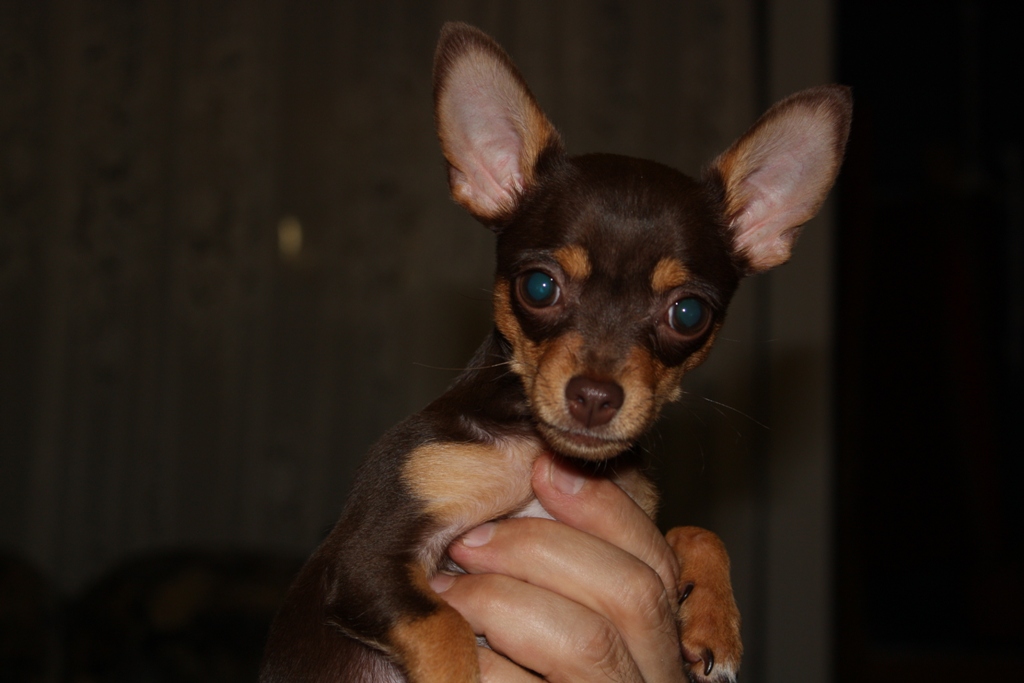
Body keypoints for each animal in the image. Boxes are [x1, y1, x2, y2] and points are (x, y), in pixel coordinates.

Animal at [260, 21, 851, 683]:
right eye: (539, 287)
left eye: (689, 314)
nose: (593, 397)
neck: (532, 449)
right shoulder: (363, 558)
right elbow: (447, 628)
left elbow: (698, 530)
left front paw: (714, 621)